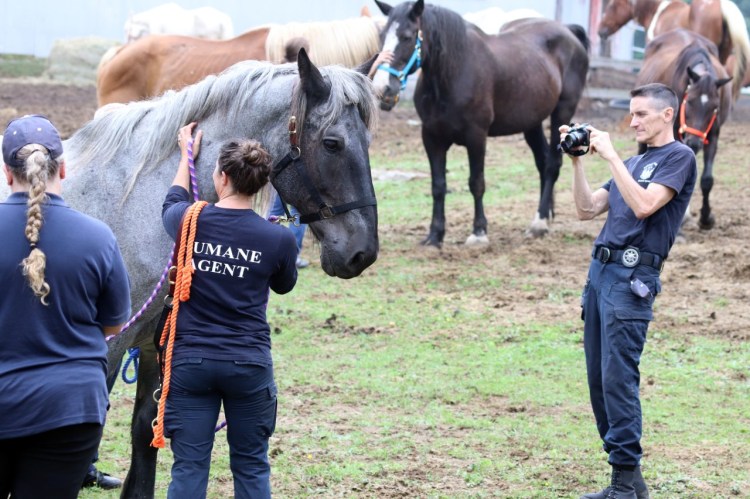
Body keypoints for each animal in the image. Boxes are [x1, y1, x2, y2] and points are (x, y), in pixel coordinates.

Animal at [59, 51, 382, 499]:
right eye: (332, 143)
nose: (362, 253)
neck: (130, 205)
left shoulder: (156, 343)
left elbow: (146, 429)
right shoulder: (107, 347)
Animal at [374, 0, 592, 246]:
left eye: (408, 36)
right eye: (381, 35)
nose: (383, 90)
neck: (453, 72)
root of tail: (568, 32)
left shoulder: (476, 137)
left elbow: (476, 183)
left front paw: (479, 232)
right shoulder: (431, 138)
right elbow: (438, 186)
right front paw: (435, 235)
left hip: (562, 112)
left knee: (552, 165)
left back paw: (539, 222)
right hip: (532, 122)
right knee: (543, 161)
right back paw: (548, 214)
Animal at [636, 30, 736, 231]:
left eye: (715, 107)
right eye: (689, 101)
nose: (694, 142)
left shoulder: (713, 134)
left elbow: (706, 179)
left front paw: (706, 218)